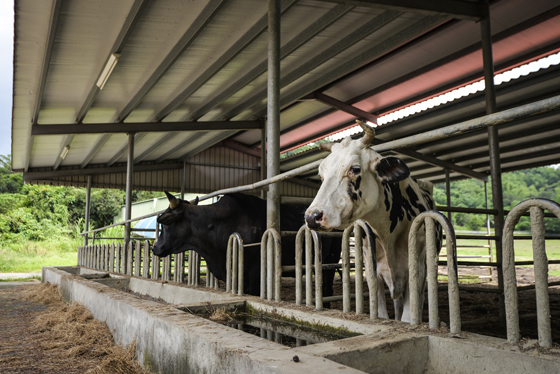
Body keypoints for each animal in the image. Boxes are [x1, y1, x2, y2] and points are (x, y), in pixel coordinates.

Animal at [304, 120, 440, 322]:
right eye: (321, 175)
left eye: (354, 169)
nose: (312, 217)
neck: (388, 235)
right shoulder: (372, 270)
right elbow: (381, 314)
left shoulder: (418, 270)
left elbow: (409, 317)